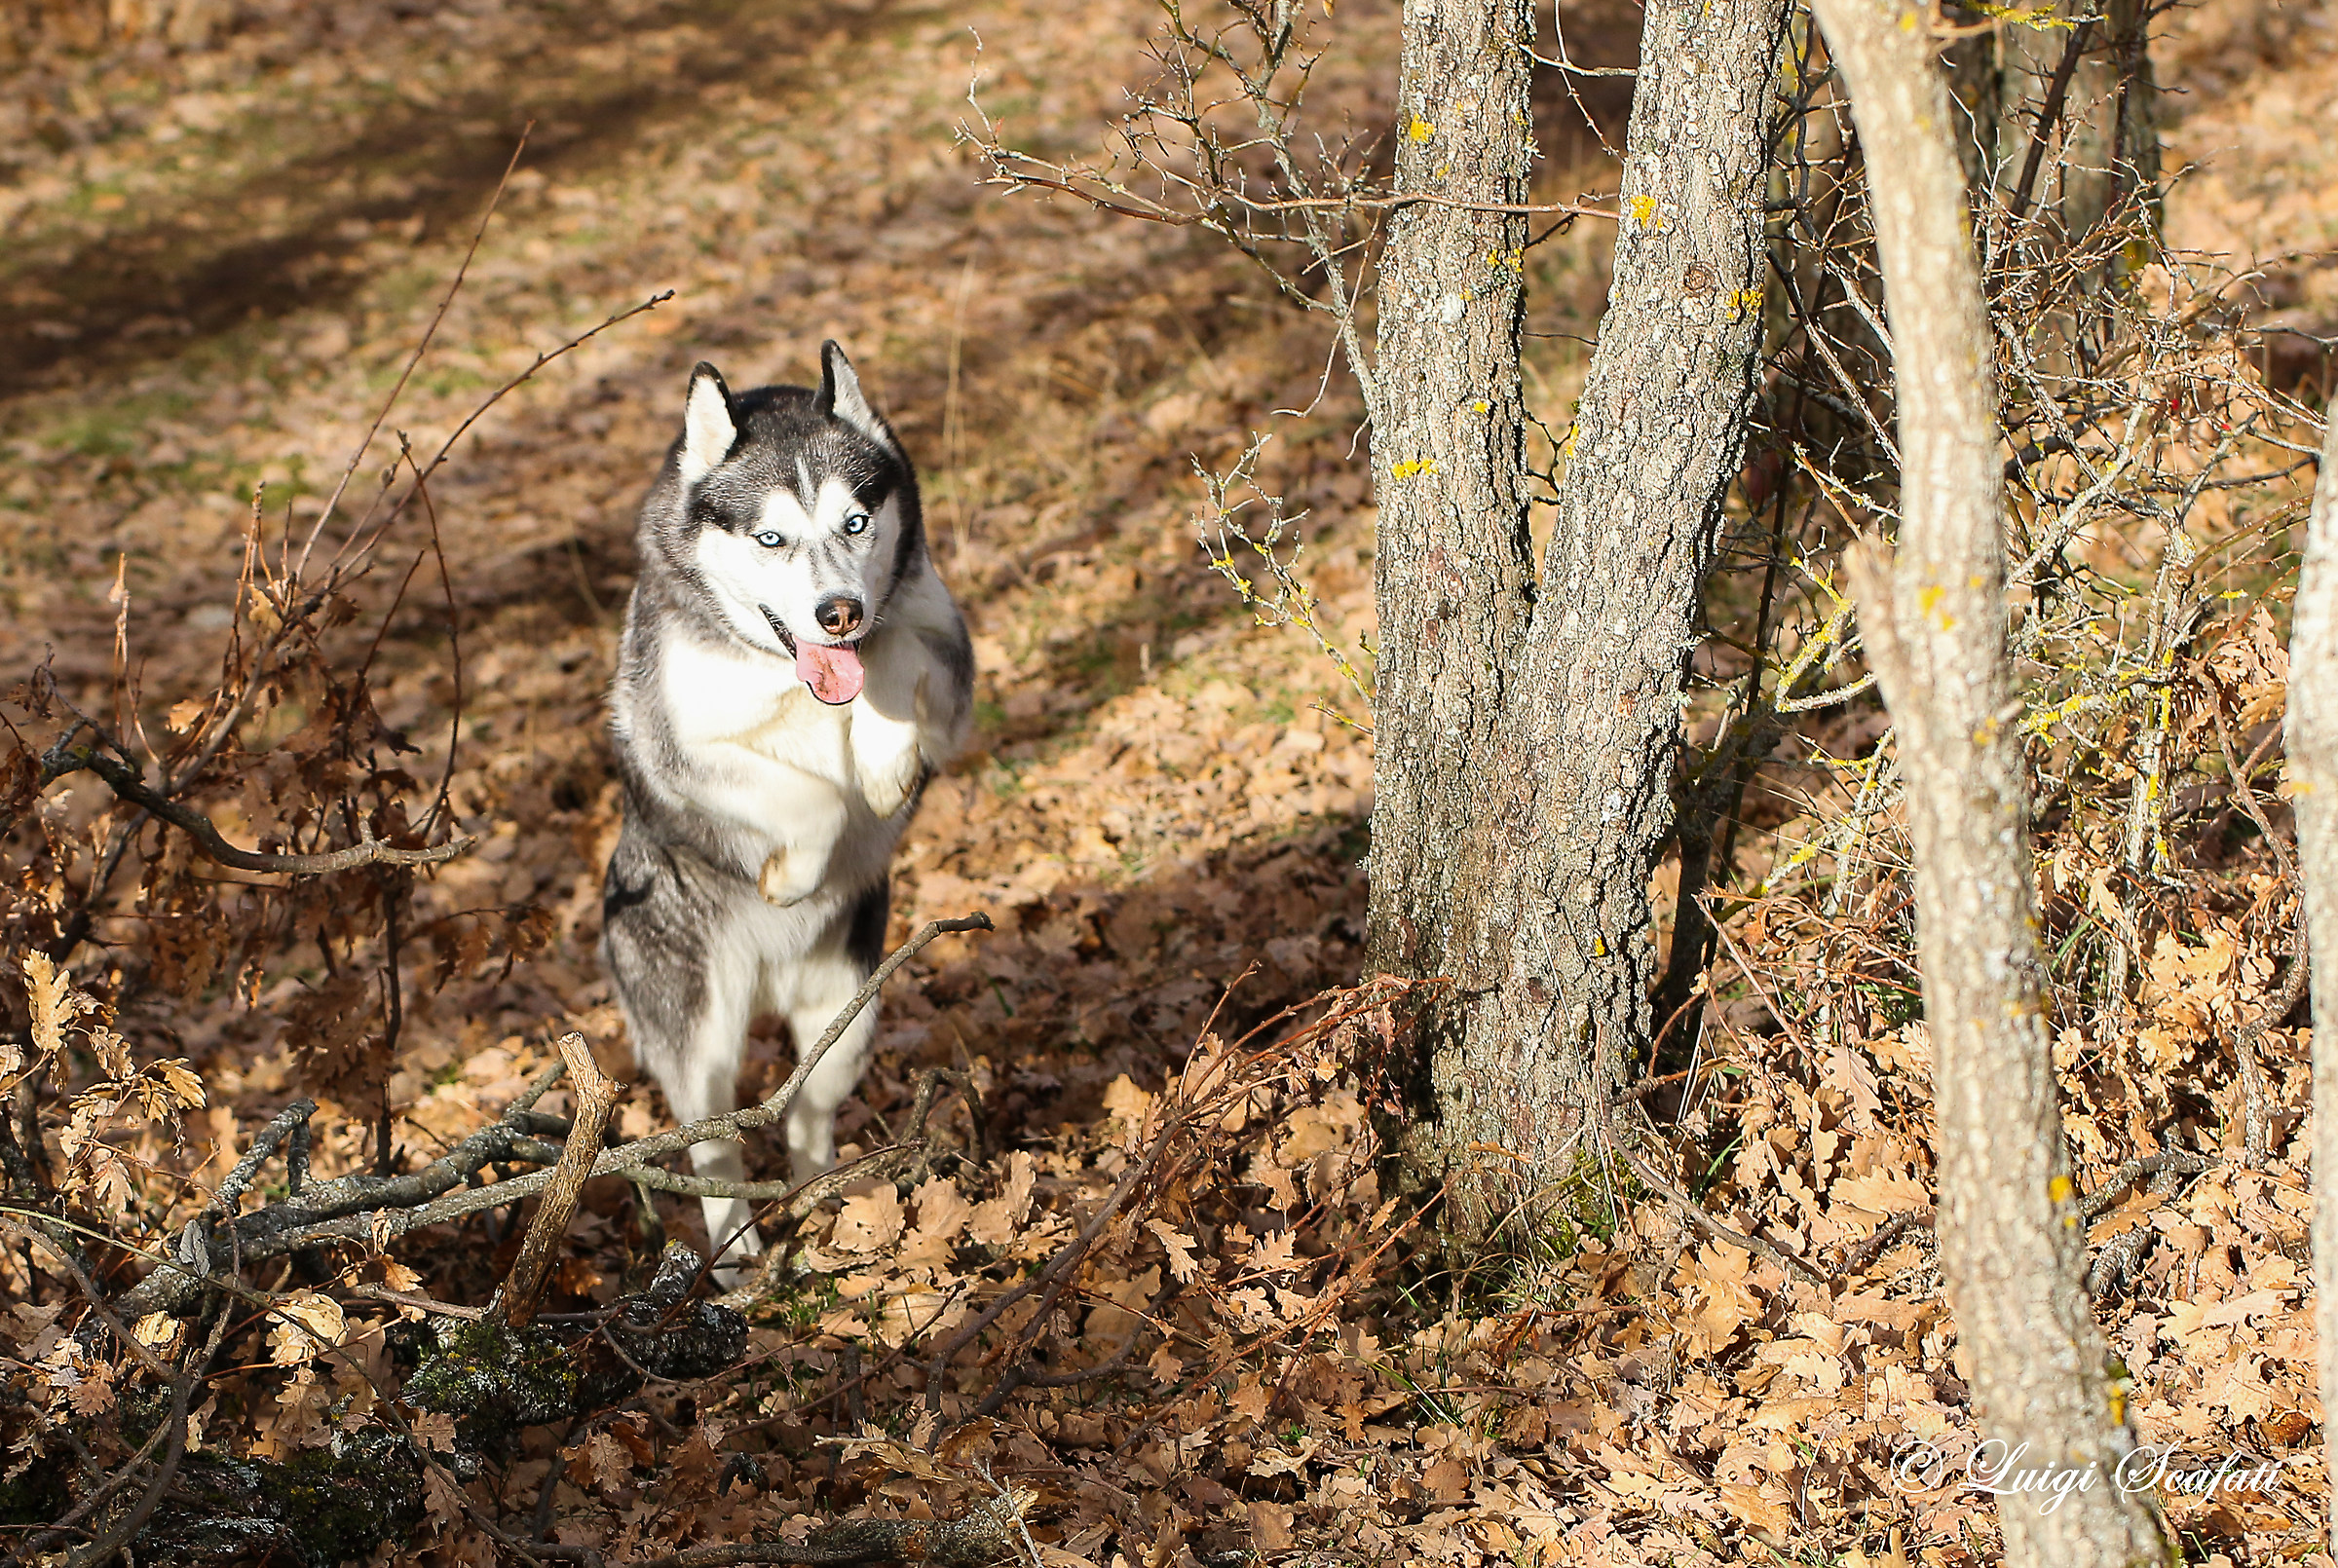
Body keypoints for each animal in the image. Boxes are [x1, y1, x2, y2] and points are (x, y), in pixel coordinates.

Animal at [608, 343, 972, 1271]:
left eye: (856, 522)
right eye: (770, 539)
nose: (837, 612)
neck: (792, 673)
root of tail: (772, 977)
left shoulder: (947, 665)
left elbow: (895, 656)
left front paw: (882, 766)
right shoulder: (678, 747)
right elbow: (807, 798)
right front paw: (794, 873)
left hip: (851, 1013)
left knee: (805, 1108)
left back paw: (828, 1201)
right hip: (699, 1039)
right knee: (716, 1146)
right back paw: (737, 1260)